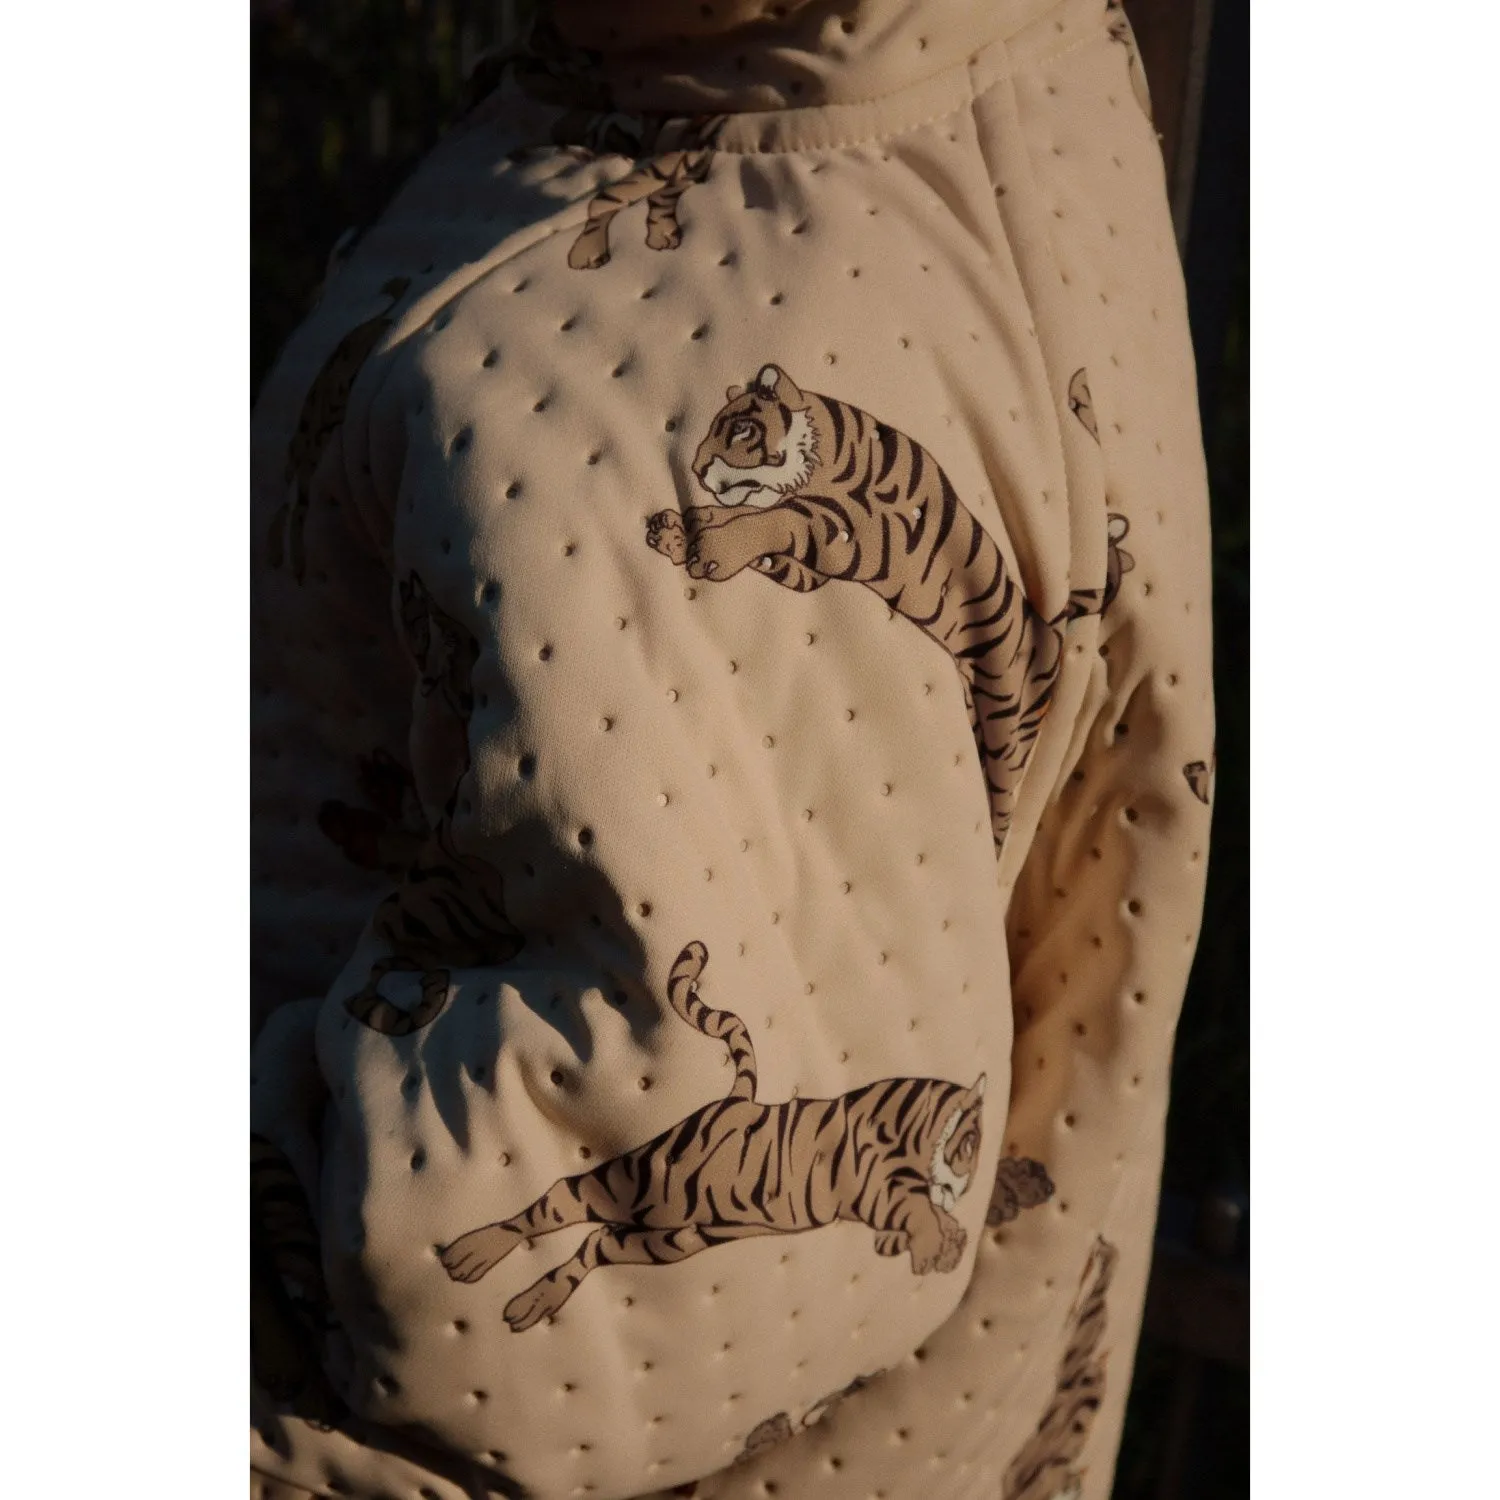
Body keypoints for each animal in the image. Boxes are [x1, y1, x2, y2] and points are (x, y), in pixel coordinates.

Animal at [439, 939, 994, 1332]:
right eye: (970, 1146)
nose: (962, 1189)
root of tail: (736, 1100)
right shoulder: (875, 1184)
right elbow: (915, 1210)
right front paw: (936, 1242)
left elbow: (930, 1216)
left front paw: (948, 1240)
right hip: (635, 1184)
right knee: (556, 1200)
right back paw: (471, 1254)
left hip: (679, 1238)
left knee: (596, 1243)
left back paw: (534, 1300)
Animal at [645, 363, 1130, 855]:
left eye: (740, 429)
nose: (696, 469)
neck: (830, 456)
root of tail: (1046, 625)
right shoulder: (814, 568)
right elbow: (755, 527)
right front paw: (680, 532)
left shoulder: (855, 533)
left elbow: (779, 521)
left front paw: (713, 548)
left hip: (1008, 724)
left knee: (1002, 799)